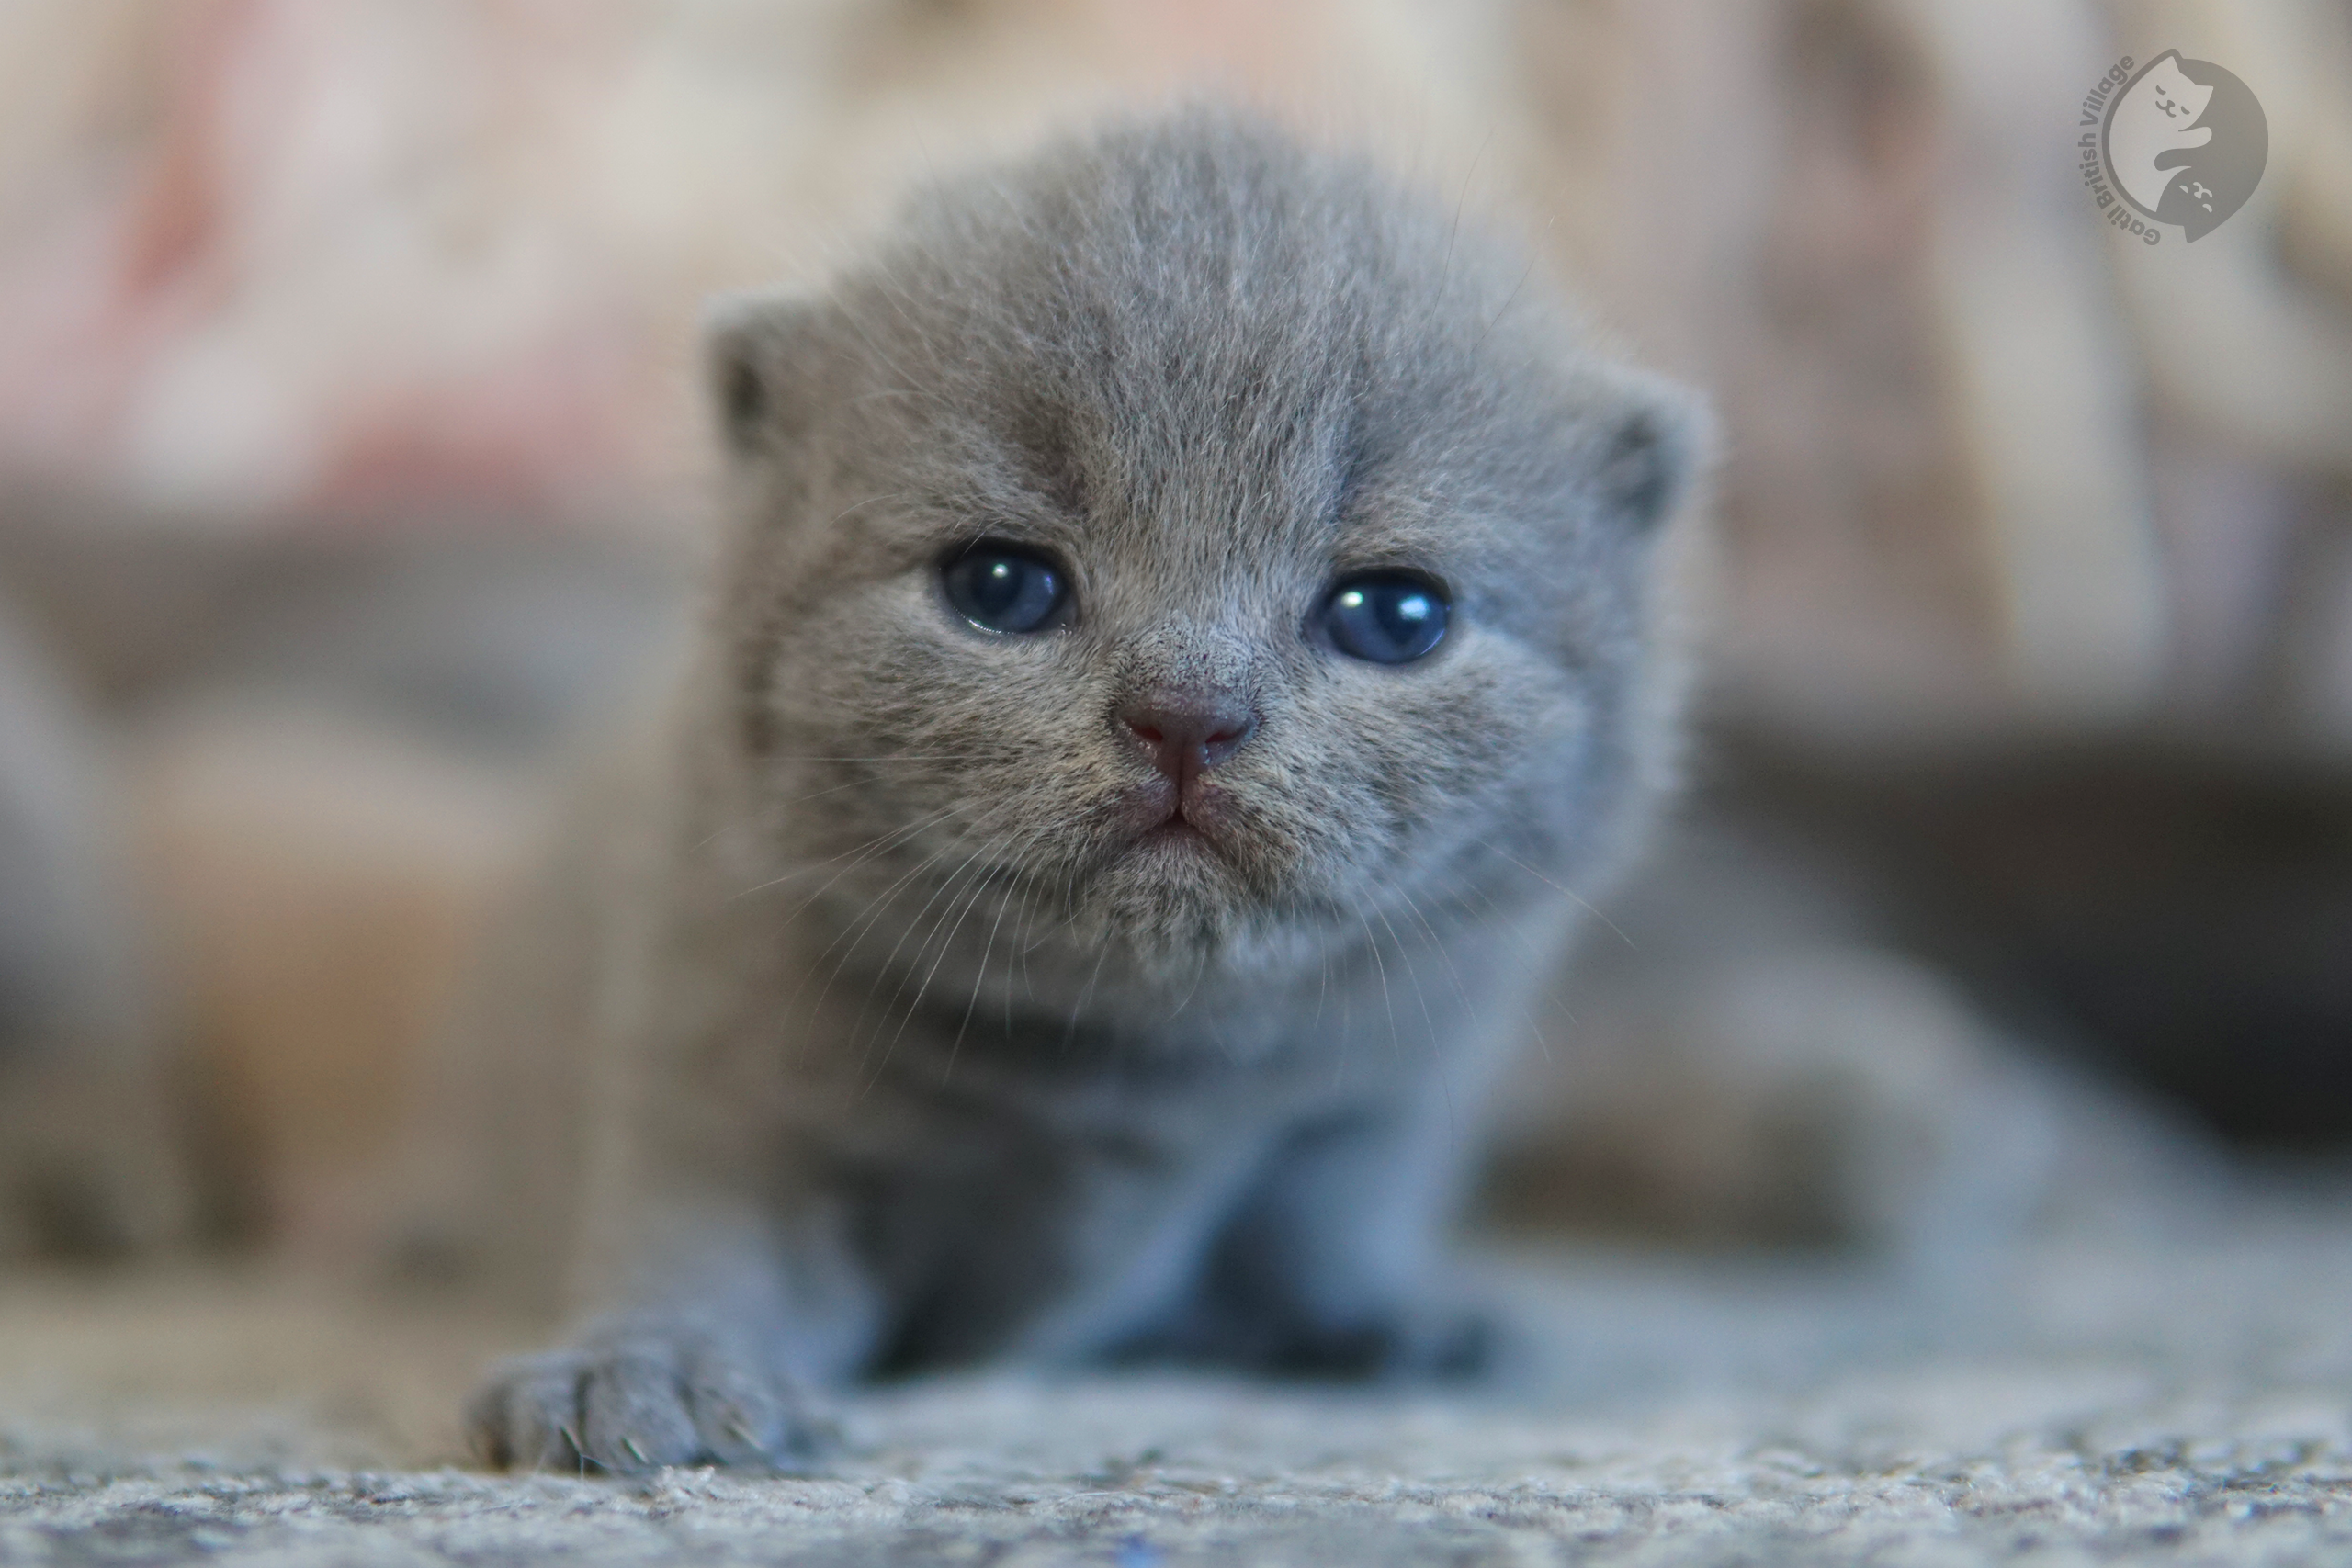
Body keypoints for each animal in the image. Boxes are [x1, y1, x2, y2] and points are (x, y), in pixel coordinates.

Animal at [463, 107, 1712, 1476]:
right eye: (1001, 584)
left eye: (1394, 614)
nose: (1187, 712)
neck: (1131, 1076)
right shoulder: (713, 1046)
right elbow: (698, 1228)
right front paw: (650, 1369)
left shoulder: (1395, 1071)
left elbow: (1329, 1207)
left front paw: (1370, 1311)